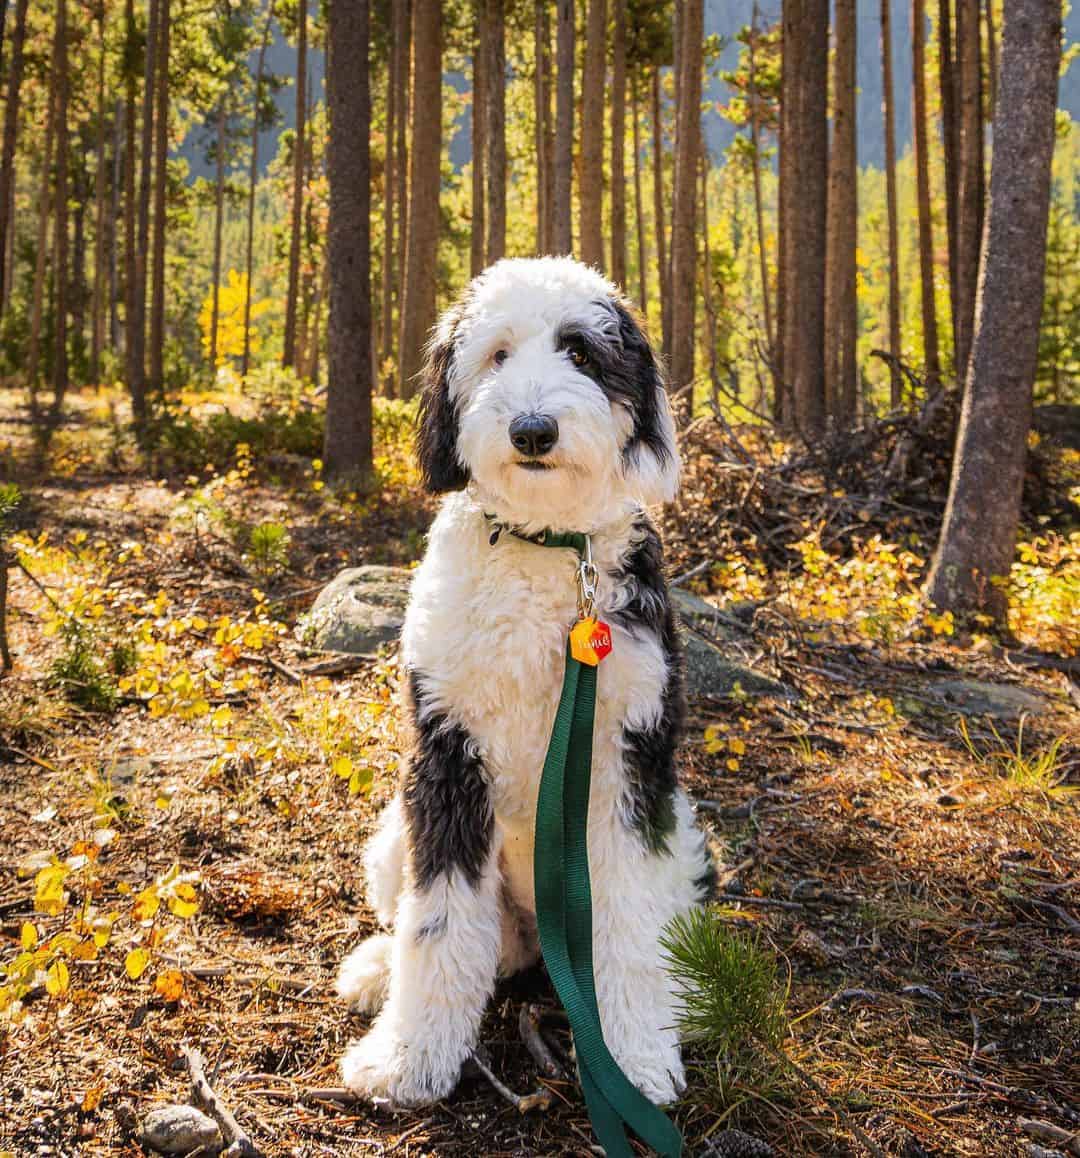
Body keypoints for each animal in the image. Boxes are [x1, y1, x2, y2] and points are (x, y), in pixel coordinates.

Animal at [333, 258, 713, 1107]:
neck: (545, 549)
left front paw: (636, 1056)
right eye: (498, 354)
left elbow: (630, 924)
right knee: (459, 932)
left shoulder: (628, 767)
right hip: (392, 836)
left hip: (683, 835)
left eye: (581, 351)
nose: (533, 430)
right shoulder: (447, 756)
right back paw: (379, 969)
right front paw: (410, 1058)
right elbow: (438, 924)